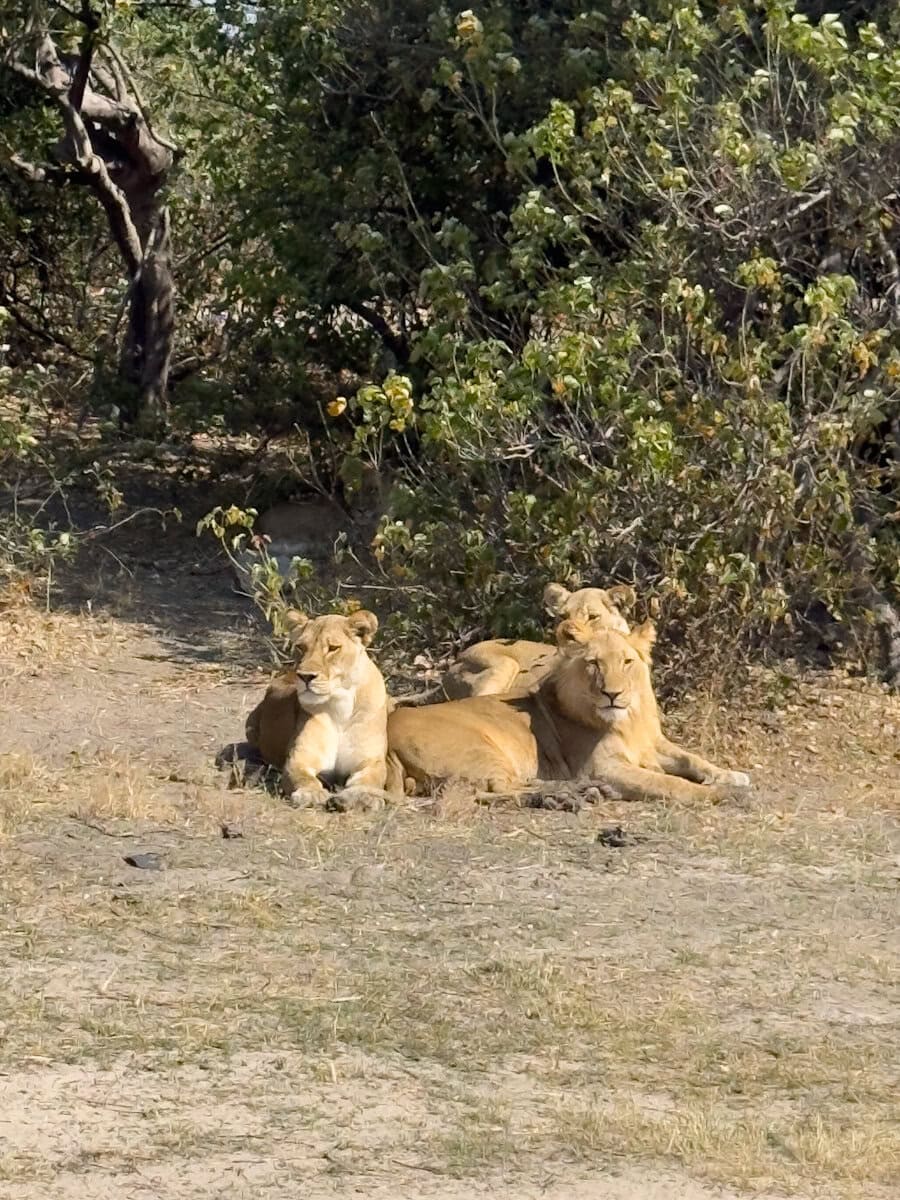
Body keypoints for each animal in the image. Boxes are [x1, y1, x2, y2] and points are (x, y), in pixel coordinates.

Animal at [244, 608, 394, 811]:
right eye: (301, 647)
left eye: (333, 648)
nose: (305, 676)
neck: (340, 706)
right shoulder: (298, 759)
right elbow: (303, 777)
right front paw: (311, 793)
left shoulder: (371, 762)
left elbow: (370, 780)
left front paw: (363, 797)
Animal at [387, 618, 750, 804]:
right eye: (594, 664)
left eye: (627, 662)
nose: (613, 694)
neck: (627, 721)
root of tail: (388, 733)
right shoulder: (602, 767)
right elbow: (669, 783)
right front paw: (723, 793)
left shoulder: (651, 745)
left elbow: (692, 759)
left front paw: (731, 775)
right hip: (481, 748)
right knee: (491, 790)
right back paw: (571, 795)